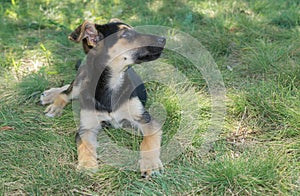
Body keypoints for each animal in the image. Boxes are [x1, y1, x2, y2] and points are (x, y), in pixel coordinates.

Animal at [39, 19, 166, 178]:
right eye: (126, 34)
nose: (163, 39)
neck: (111, 83)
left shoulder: (145, 119)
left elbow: (148, 141)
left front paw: (150, 164)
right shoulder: (86, 128)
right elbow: (85, 146)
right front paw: (87, 166)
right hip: (82, 79)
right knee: (67, 92)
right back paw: (54, 104)